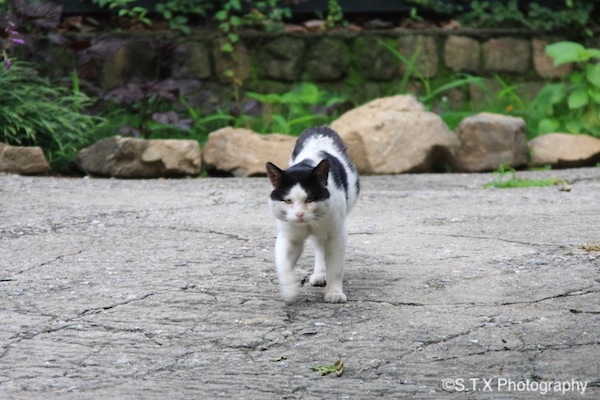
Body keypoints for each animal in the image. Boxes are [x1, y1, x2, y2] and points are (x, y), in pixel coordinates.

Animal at [264, 126, 358, 304]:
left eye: (309, 199)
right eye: (288, 201)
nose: (299, 214)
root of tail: (320, 127)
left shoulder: (337, 234)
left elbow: (336, 266)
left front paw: (334, 292)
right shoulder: (289, 236)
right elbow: (283, 262)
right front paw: (290, 290)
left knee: (322, 248)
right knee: (319, 247)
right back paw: (320, 274)